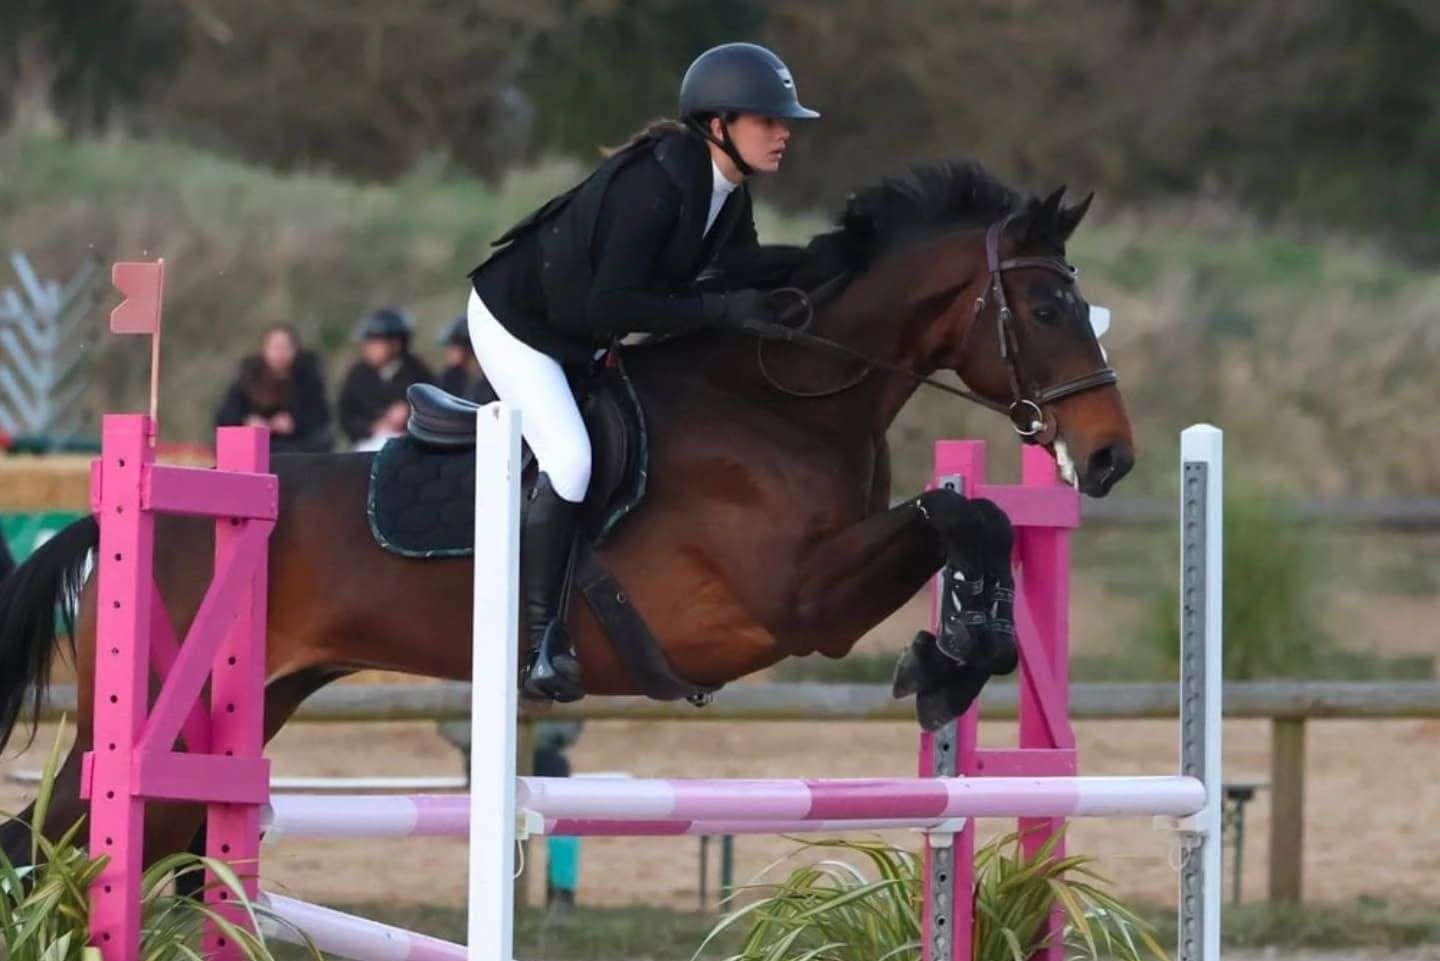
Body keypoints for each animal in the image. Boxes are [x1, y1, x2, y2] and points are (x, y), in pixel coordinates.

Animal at [0, 159, 1128, 864]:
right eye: (1046, 307)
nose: (1111, 455)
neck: (784, 400)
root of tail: (130, 511)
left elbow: (975, 516)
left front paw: (961, 652)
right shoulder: (798, 602)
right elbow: (952, 514)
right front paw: (946, 658)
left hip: (246, 712)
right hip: (161, 710)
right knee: (58, 838)